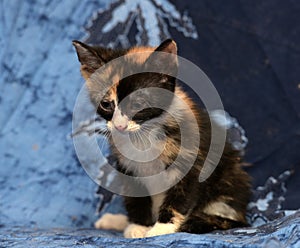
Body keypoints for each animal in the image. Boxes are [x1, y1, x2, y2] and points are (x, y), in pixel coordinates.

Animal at [72, 39, 251, 238]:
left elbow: (181, 196)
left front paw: (161, 229)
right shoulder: (127, 167)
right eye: (105, 104)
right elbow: (135, 196)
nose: (119, 126)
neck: (144, 135)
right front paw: (137, 226)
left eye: (138, 104)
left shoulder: (193, 161)